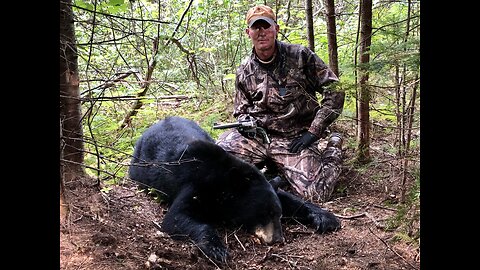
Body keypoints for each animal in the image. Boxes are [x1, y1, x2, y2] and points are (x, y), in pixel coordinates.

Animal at [127, 116, 338, 264]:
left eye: (277, 214)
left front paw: (325, 217)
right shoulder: (196, 186)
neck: (226, 183)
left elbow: (288, 198)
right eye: (263, 214)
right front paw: (217, 249)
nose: (277, 239)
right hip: (137, 167)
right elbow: (176, 218)